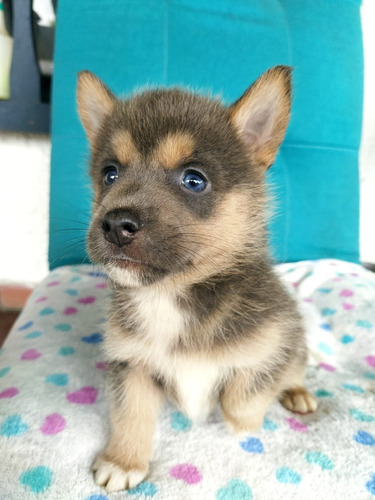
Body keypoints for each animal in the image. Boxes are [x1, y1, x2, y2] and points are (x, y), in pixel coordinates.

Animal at [76, 66, 318, 492]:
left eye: (194, 180)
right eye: (110, 174)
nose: (115, 225)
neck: (169, 296)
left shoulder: (273, 345)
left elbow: (242, 397)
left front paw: (241, 425)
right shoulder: (131, 363)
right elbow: (129, 413)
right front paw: (123, 461)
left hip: (297, 348)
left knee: (296, 370)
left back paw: (298, 394)